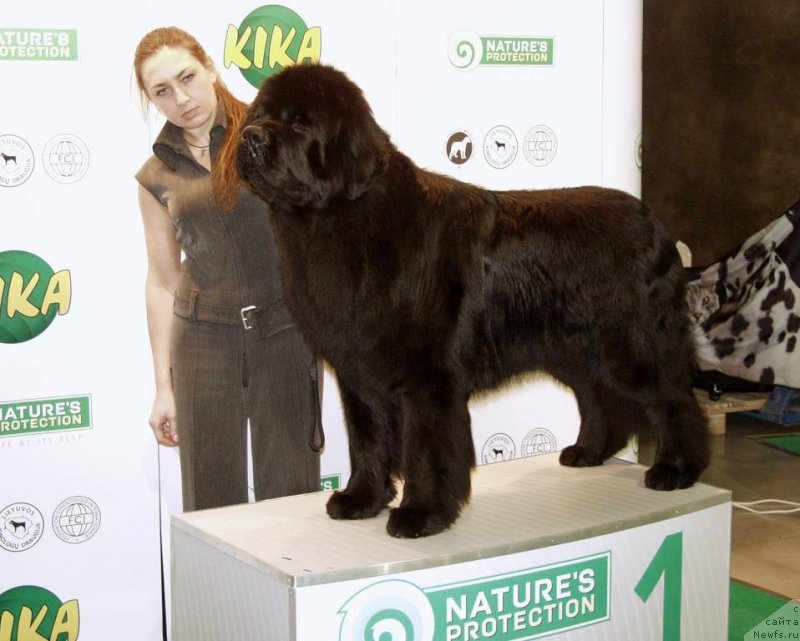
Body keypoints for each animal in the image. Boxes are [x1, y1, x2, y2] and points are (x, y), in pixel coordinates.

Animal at [234, 65, 708, 536]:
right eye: (261, 114)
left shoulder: (427, 376)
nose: (250, 136)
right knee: (598, 397)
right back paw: (588, 452)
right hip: (576, 349)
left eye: (300, 124)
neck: (339, 220)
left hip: (630, 346)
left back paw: (676, 469)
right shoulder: (359, 372)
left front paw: (421, 513)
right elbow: (367, 439)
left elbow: (426, 449)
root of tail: (655, 223)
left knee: (675, 399)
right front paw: (361, 499)